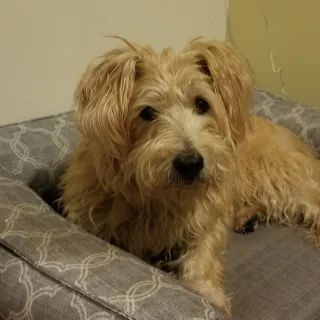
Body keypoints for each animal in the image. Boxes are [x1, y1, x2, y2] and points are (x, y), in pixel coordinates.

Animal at [62, 35, 320, 316]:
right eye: (147, 113)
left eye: (201, 103)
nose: (190, 164)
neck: (162, 197)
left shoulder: (209, 216)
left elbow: (203, 253)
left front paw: (206, 292)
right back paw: (246, 217)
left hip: (279, 176)